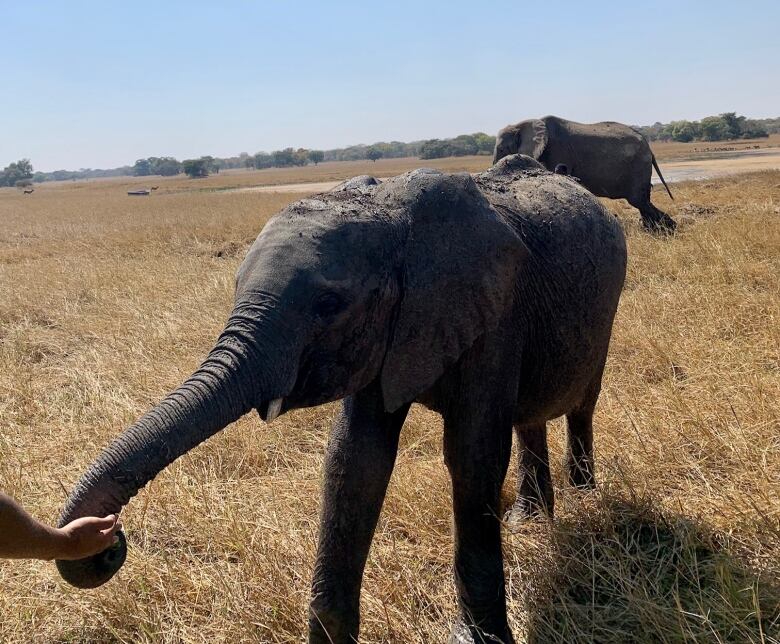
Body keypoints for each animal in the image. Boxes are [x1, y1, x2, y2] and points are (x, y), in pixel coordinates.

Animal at [56, 157, 628, 644]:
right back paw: (530, 522)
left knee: (580, 402)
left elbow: (473, 458)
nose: (109, 540)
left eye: (329, 304)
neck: (393, 217)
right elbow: (355, 460)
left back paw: (583, 498)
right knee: (529, 415)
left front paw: (477, 640)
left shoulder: (493, 315)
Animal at [500, 115, 676, 234]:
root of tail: (648, 146)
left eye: (501, 149)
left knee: (638, 201)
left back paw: (668, 230)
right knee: (642, 202)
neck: (524, 123)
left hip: (638, 166)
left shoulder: (557, 151)